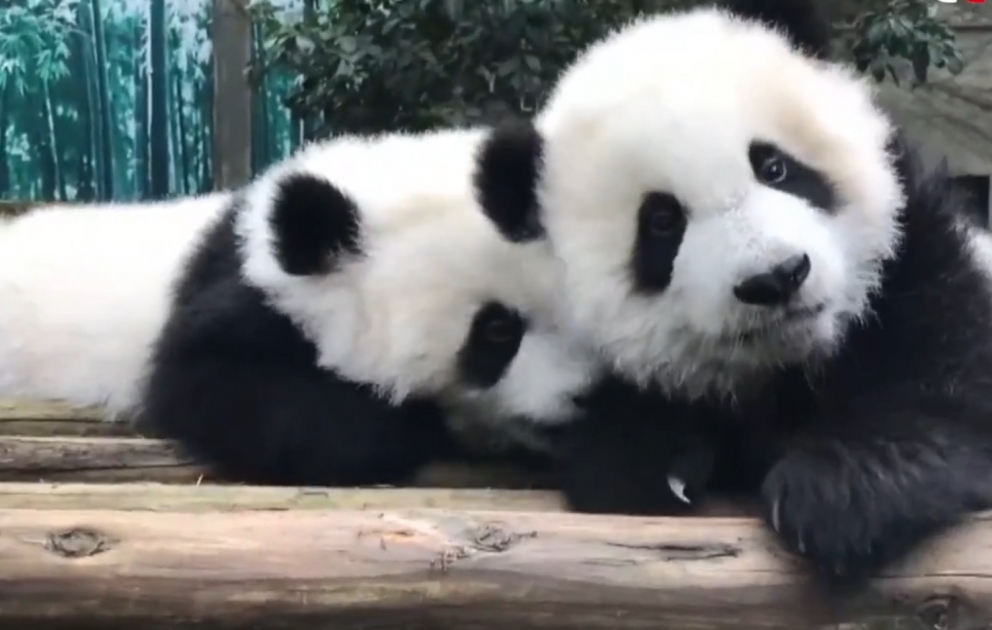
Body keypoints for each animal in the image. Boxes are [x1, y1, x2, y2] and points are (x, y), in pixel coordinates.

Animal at [472, 0, 992, 577]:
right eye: (661, 222)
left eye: (775, 167)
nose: (778, 277)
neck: (784, 365)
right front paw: (660, 466)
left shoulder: (917, 254)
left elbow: (942, 375)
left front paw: (841, 491)